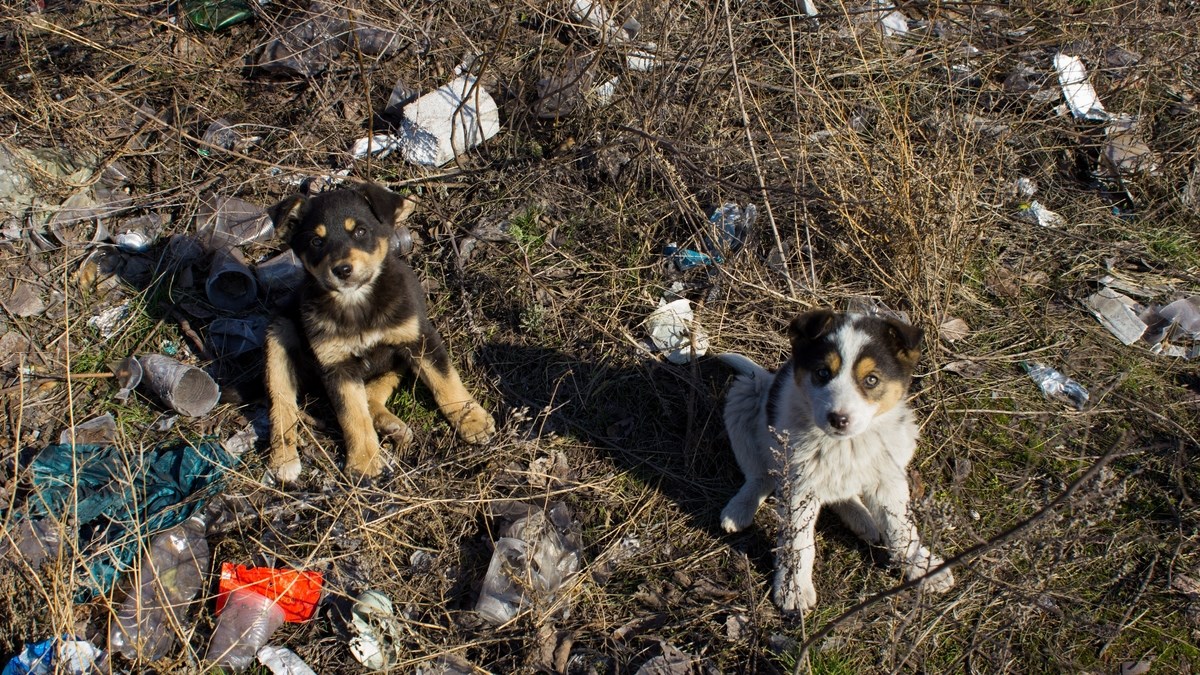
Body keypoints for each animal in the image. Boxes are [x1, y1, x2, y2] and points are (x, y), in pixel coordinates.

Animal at [267, 182, 496, 478]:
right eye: (316, 242)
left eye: (360, 231)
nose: (342, 270)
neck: (357, 304)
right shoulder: (336, 366)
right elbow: (352, 416)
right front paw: (364, 461)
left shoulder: (418, 338)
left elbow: (445, 381)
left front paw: (472, 419)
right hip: (279, 333)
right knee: (282, 405)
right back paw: (284, 459)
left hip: (395, 359)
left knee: (371, 395)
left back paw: (391, 426)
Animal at [720, 309, 955, 610]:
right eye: (822, 373)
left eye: (871, 380)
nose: (838, 419)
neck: (846, 445)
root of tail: (766, 378)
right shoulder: (798, 488)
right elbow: (798, 543)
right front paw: (794, 589)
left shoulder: (888, 480)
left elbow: (901, 529)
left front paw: (922, 566)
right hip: (745, 395)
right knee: (760, 476)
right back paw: (739, 509)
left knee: (842, 494)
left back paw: (864, 520)